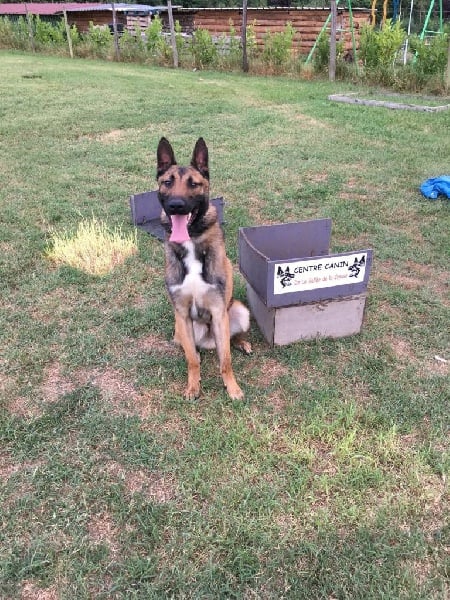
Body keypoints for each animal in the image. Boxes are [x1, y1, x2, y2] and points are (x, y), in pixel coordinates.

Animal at [156, 137, 251, 400]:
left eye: (193, 184)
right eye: (167, 182)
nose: (176, 205)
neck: (191, 241)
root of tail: (209, 341)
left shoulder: (219, 312)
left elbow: (225, 361)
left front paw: (232, 388)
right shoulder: (182, 313)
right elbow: (192, 361)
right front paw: (193, 386)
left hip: (238, 312)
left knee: (228, 342)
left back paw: (242, 343)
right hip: (180, 328)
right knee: (193, 351)